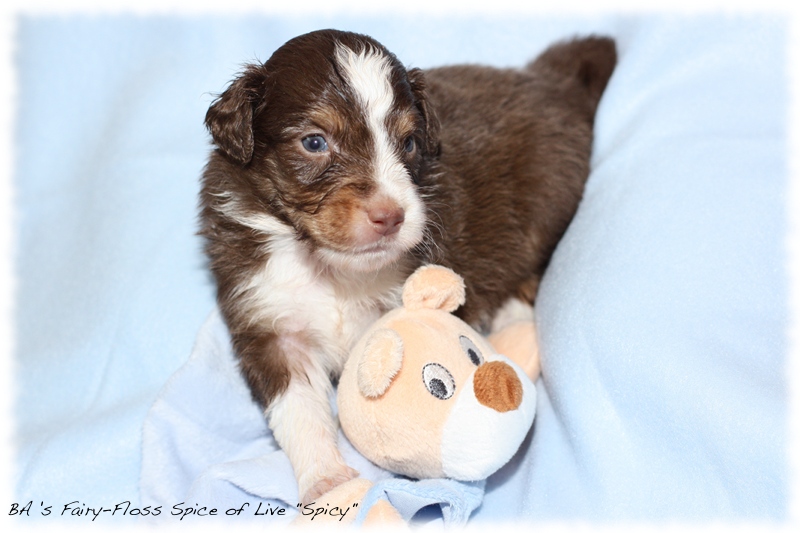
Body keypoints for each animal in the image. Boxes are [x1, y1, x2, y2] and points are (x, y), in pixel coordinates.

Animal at [198, 29, 612, 502]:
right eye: (315, 142)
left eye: (409, 142)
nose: (390, 216)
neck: (329, 267)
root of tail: (546, 80)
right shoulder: (270, 326)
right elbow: (298, 410)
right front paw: (327, 480)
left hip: (545, 208)